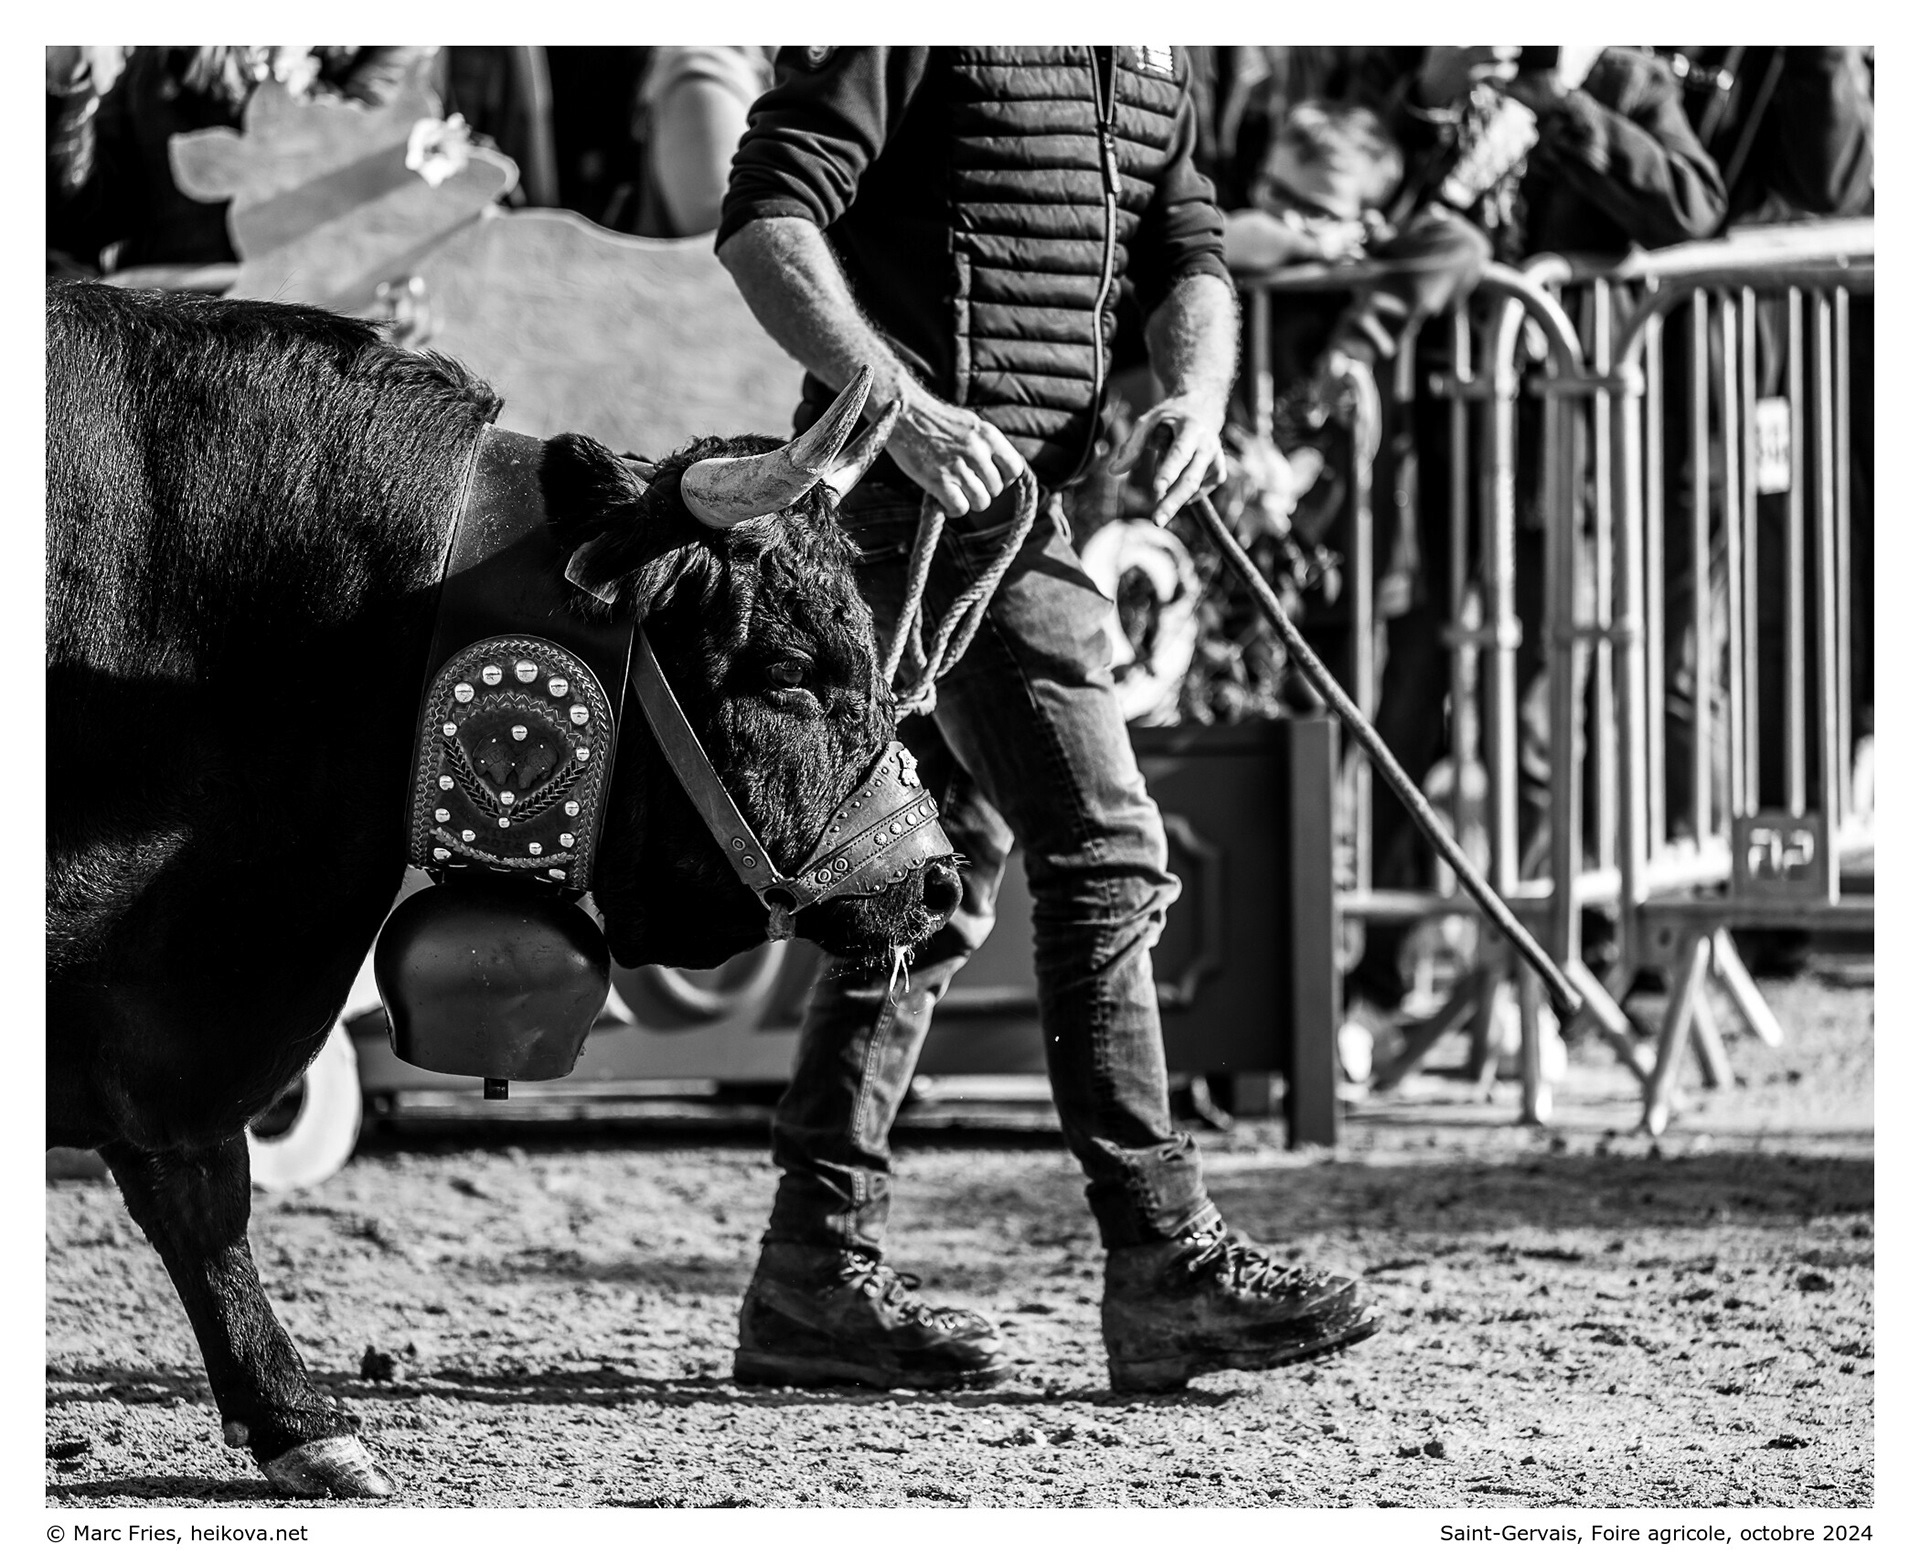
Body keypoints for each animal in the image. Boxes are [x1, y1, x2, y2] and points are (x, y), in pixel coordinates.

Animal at [46, 281, 962, 1497]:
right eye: (789, 671)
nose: (937, 879)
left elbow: (190, 1184)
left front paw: (290, 1415)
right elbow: (199, 1187)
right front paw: (303, 1413)